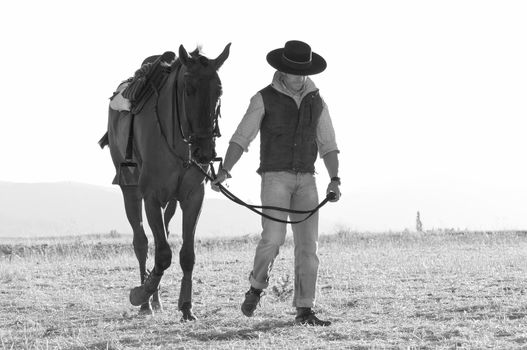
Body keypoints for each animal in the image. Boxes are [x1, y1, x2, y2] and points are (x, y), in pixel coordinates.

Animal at [105, 43, 231, 320]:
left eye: (219, 90)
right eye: (189, 89)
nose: (205, 152)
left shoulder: (193, 197)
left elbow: (187, 254)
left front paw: (186, 306)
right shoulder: (151, 196)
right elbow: (161, 253)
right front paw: (140, 293)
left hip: (170, 202)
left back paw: (157, 299)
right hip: (130, 190)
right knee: (141, 242)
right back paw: (147, 302)